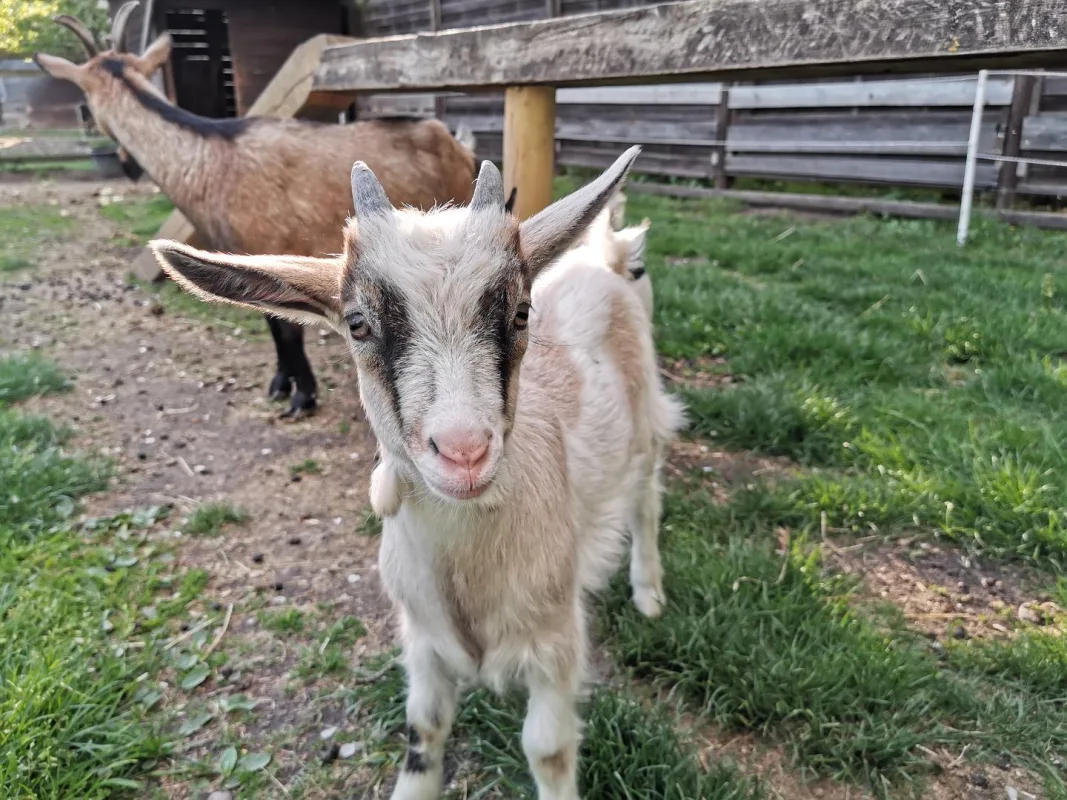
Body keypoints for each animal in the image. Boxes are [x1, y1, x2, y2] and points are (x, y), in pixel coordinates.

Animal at [35, 1, 481, 419]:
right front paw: (281, 383)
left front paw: (302, 396)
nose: (125, 165)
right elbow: (271, 322)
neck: (212, 163)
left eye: (86, 100)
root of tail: (456, 143)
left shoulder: (274, 245)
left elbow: (287, 330)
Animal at [149, 146, 684, 799]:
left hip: (648, 420)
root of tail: (603, 258)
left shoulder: (556, 643)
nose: (464, 453)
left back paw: (648, 592)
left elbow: (549, 749)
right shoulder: (424, 642)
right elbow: (423, 733)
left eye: (521, 311)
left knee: (646, 499)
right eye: (357, 323)